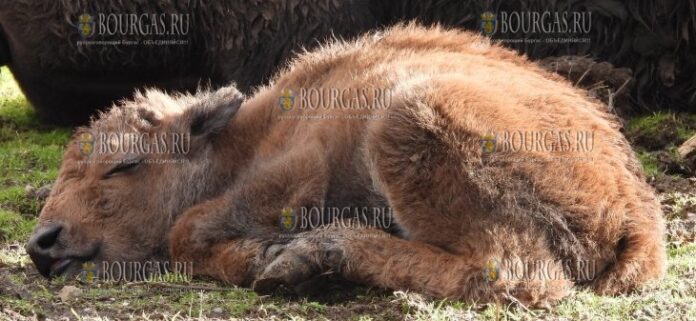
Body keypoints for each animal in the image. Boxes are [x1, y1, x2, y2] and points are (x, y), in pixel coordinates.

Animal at [27, 25, 668, 304]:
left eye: (123, 165)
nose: (42, 242)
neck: (244, 139)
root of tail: (639, 213)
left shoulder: (298, 165)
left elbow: (190, 229)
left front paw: (264, 255)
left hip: (407, 118)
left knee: (515, 274)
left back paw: (316, 256)